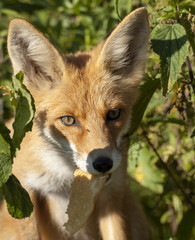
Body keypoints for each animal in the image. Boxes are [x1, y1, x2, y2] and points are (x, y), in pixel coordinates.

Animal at [0, 7, 150, 240]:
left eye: (114, 114)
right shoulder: (25, 191)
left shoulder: (112, 195)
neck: (67, 179)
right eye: (68, 120)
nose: (103, 163)